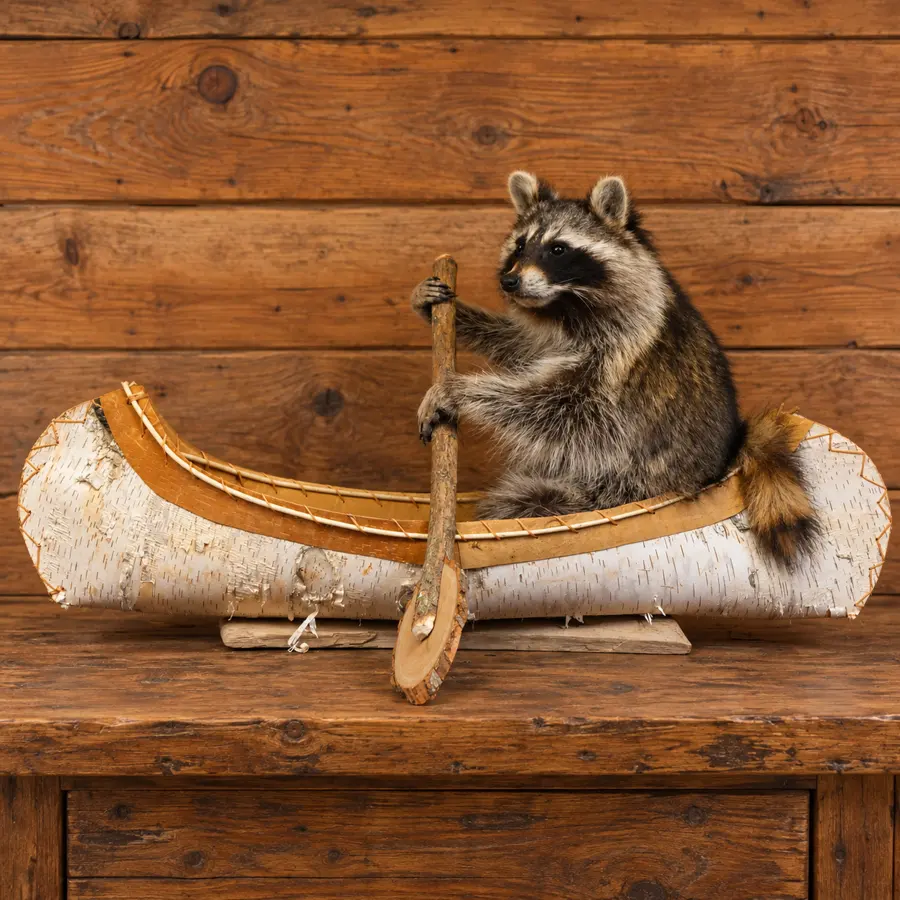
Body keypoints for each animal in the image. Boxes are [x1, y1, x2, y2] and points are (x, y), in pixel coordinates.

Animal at [411, 171, 817, 564]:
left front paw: (459, 390)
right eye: (520, 245)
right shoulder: (554, 332)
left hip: (631, 483)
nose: (508, 280)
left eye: (558, 249)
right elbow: (522, 346)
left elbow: (567, 408)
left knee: (528, 499)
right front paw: (460, 317)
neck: (566, 305)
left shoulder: (624, 352)